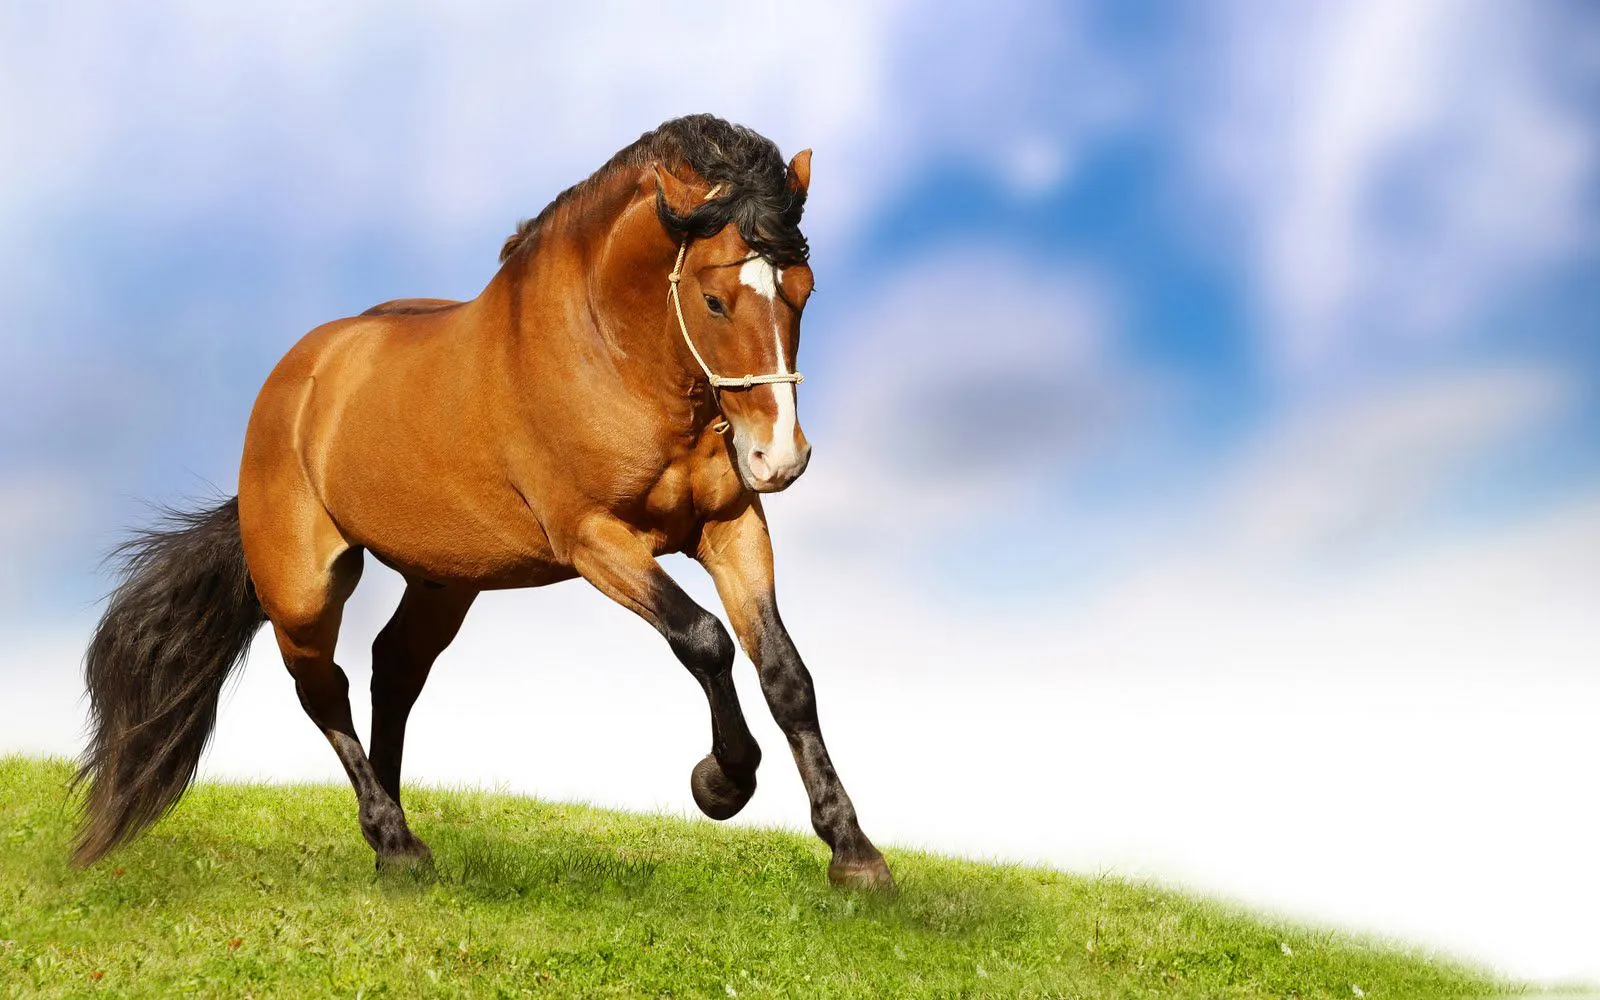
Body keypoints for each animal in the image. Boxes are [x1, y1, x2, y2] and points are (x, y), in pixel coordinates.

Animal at [73, 114, 893, 891]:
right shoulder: (595, 539)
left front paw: (855, 855)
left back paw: (391, 839)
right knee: (324, 690)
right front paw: (721, 782)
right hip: (303, 588)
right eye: (716, 300)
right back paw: (395, 842)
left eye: (803, 291)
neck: (613, 356)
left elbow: (786, 673)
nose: (779, 458)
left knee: (394, 671)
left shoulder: (730, 527)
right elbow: (704, 639)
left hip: (443, 580)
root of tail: (293, 382)